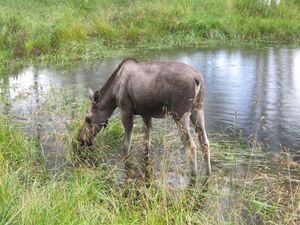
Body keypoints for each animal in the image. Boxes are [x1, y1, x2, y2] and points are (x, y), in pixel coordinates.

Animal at [78, 58, 212, 183]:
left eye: (88, 119)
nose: (81, 139)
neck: (114, 93)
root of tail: (197, 78)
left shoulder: (126, 111)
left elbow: (126, 145)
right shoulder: (146, 114)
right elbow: (146, 143)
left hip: (180, 114)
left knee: (191, 147)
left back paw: (194, 178)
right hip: (198, 109)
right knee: (205, 142)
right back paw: (208, 173)